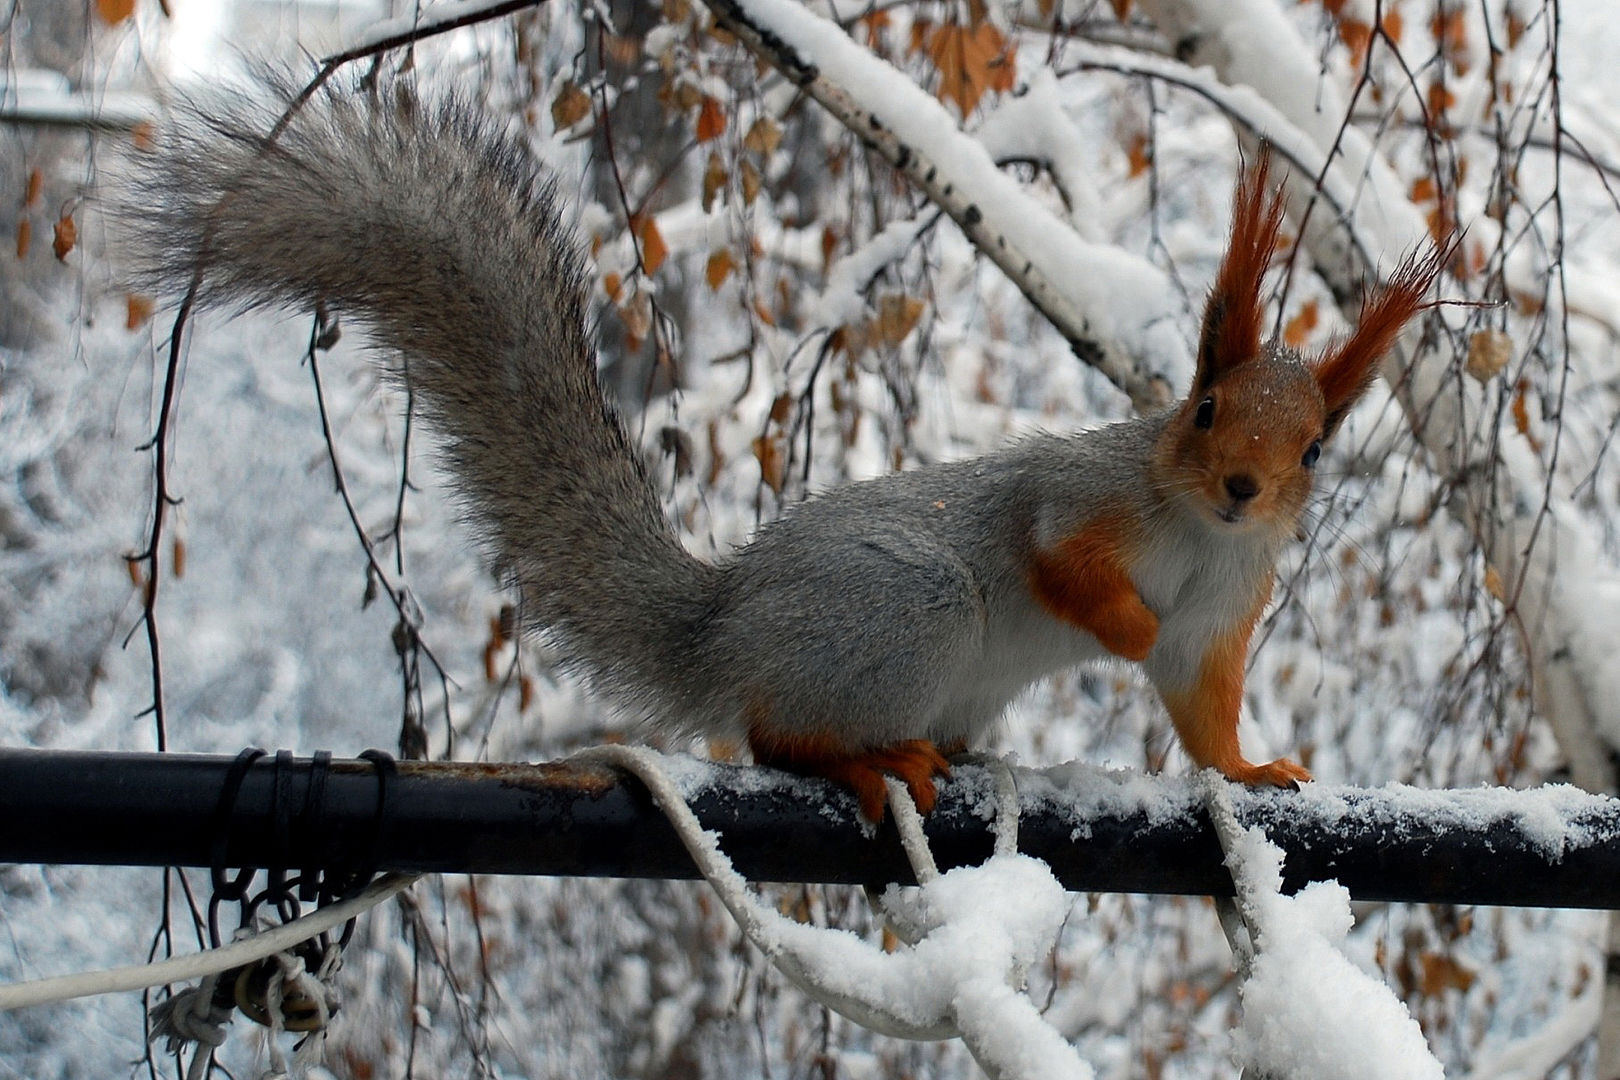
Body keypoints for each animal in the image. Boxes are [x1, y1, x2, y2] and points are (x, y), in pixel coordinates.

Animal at [123, 76, 1445, 819]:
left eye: (1315, 450)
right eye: (1204, 408)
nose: (1240, 489)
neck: (1190, 531)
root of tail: (727, 624)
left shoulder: (1225, 605)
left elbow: (1200, 706)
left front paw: (1251, 773)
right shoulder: (1079, 495)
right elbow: (1055, 556)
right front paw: (1116, 623)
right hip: (908, 610)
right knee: (775, 735)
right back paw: (864, 764)